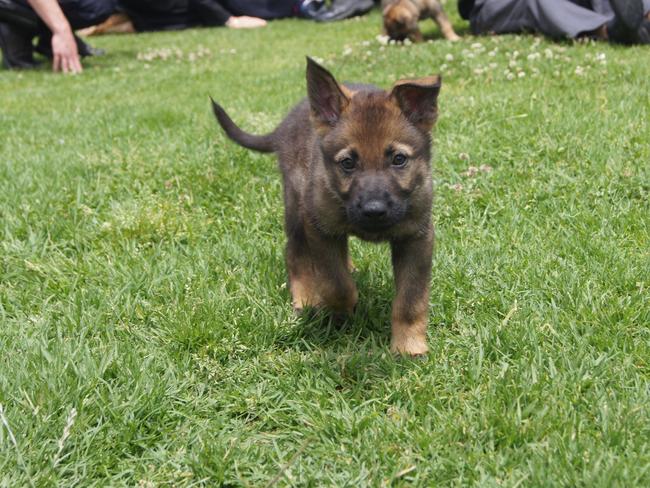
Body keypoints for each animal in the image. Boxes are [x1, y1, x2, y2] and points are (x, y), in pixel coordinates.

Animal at [211, 59, 440, 356]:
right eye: (347, 163)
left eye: (399, 159)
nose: (374, 211)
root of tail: (284, 125)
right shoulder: (320, 228)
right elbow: (336, 284)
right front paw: (342, 307)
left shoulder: (416, 238)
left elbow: (411, 301)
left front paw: (408, 346)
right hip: (296, 207)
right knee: (295, 254)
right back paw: (306, 298)